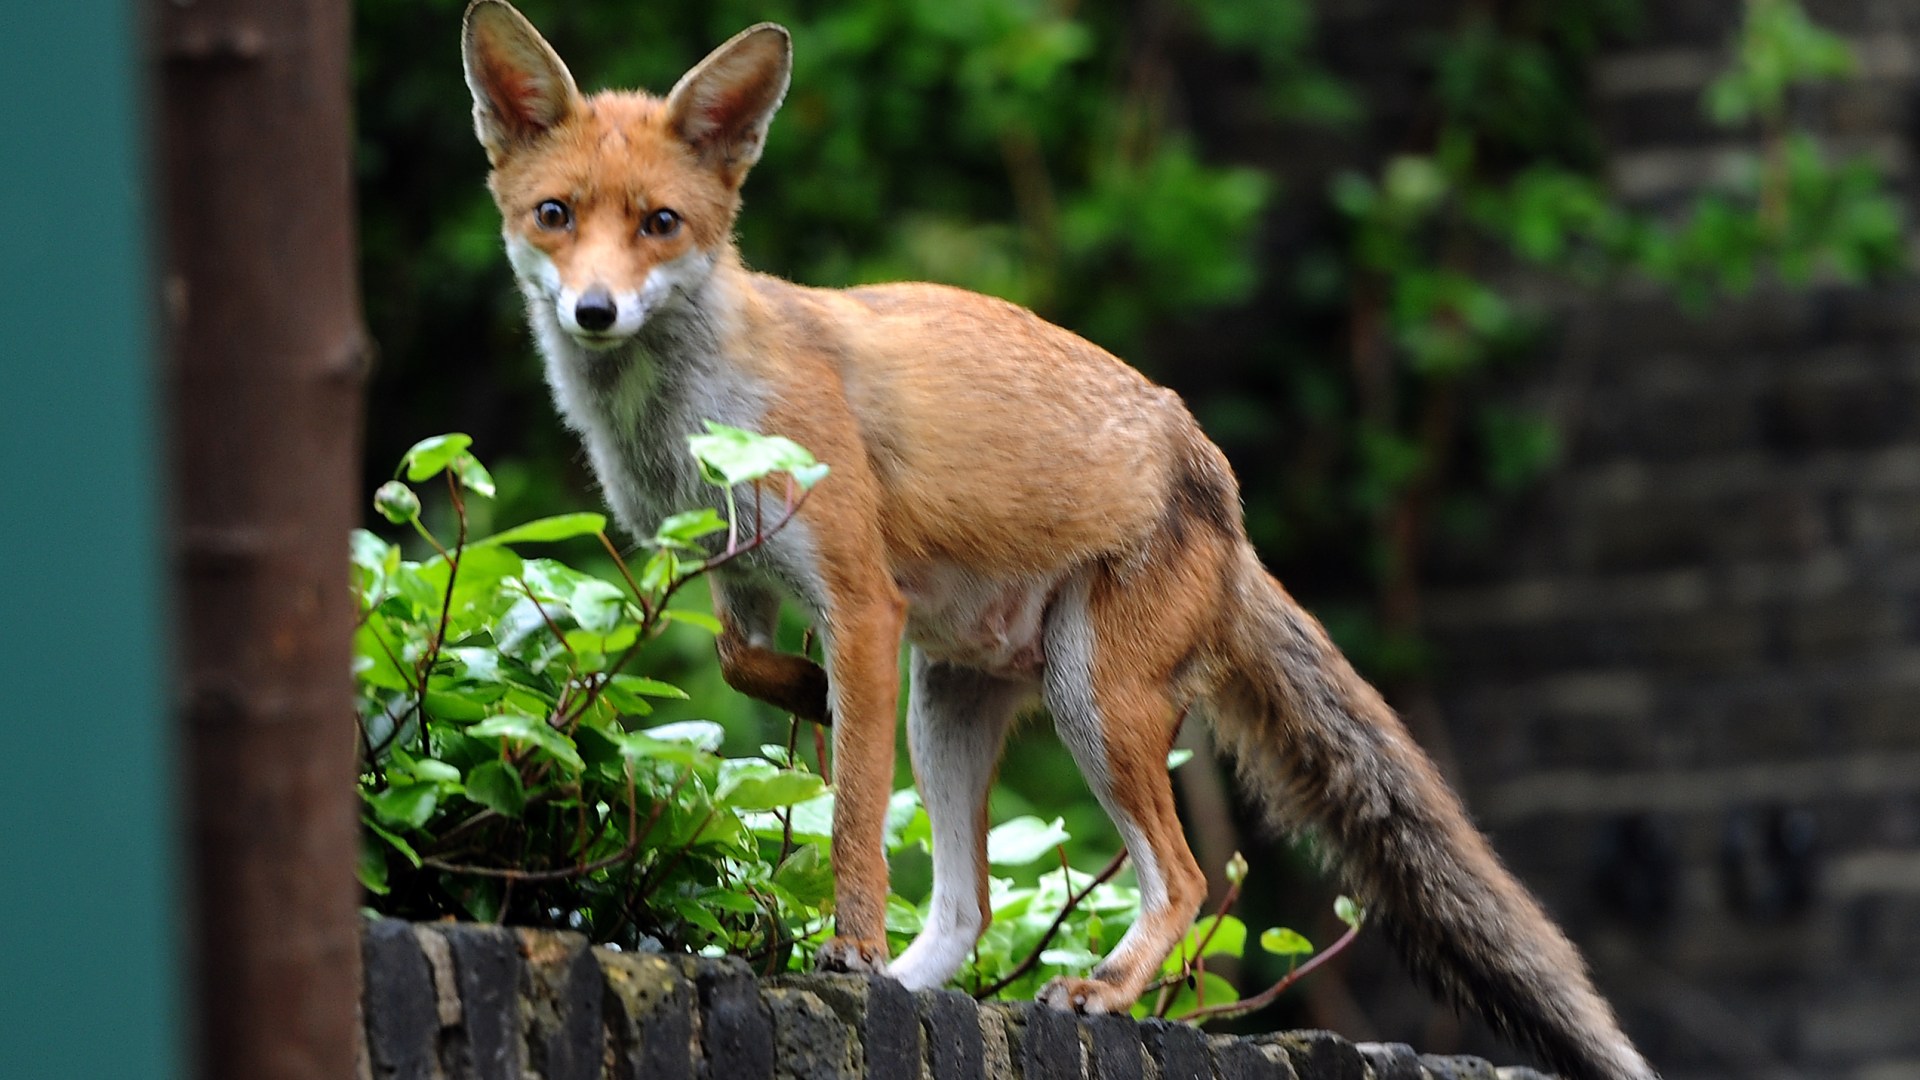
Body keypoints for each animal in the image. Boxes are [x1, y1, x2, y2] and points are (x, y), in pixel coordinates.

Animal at [456, 4, 1658, 1068]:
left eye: (660, 224)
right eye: (555, 214)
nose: (595, 313)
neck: (681, 424)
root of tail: (1225, 500)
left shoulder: (860, 597)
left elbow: (852, 814)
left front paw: (847, 947)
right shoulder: (739, 575)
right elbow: (744, 666)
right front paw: (808, 704)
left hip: (1095, 698)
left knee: (1179, 877)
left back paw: (1100, 989)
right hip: (950, 701)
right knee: (972, 907)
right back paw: (921, 982)